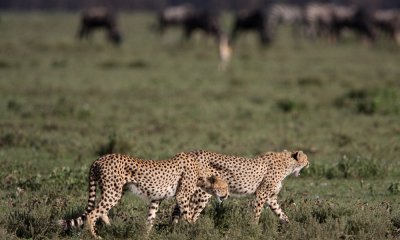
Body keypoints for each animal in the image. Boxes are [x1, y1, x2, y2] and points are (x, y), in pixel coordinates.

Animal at [59, 152, 228, 238]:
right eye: (224, 187)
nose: (226, 195)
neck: (201, 172)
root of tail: (99, 159)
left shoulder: (156, 199)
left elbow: (150, 219)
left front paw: (145, 234)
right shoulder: (182, 196)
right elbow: (189, 215)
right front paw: (195, 229)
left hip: (114, 191)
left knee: (101, 212)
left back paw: (113, 228)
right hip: (113, 192)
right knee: (92, 214)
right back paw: (96, 236)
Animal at [172, 150, 310, 223]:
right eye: (306, 159)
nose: (309, 163)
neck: (287, 164)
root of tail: (192, 153)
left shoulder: (271, 197)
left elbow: (281, 213)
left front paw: (290, 226)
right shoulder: (261, 193)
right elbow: (257, 212)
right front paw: (253, 227)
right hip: (203, 193)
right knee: (190, 213)